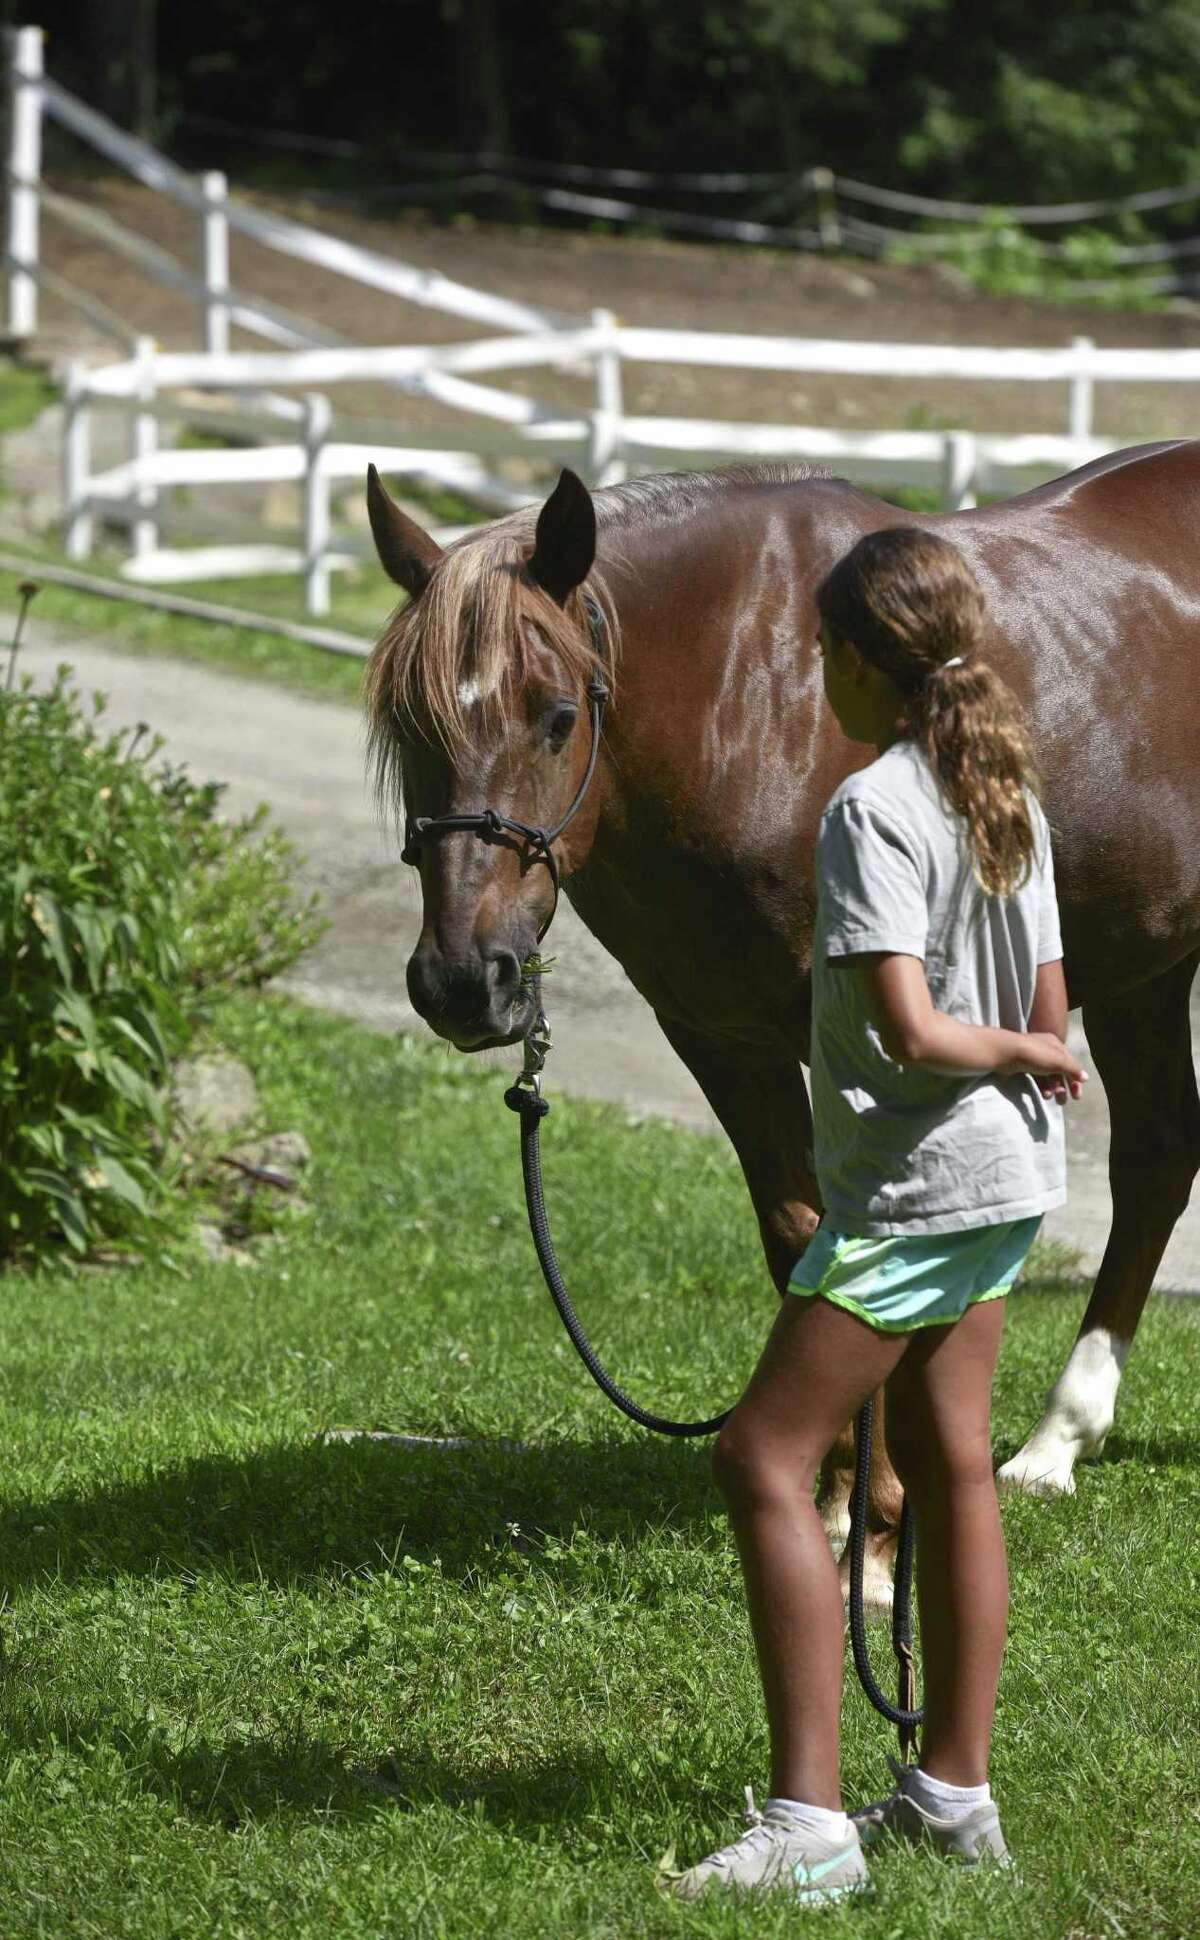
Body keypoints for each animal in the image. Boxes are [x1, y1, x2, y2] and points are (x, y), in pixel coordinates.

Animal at [363, 442, 1200, 1604]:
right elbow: (803, 1242)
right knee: (1161, 1155)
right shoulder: (720, 1034)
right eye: (410, 724)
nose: (459, 982)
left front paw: (881, 1547)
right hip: (1145, 963)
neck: (749, 699)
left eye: (557, 714)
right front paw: (845, 1506)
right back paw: (1053, 1445)